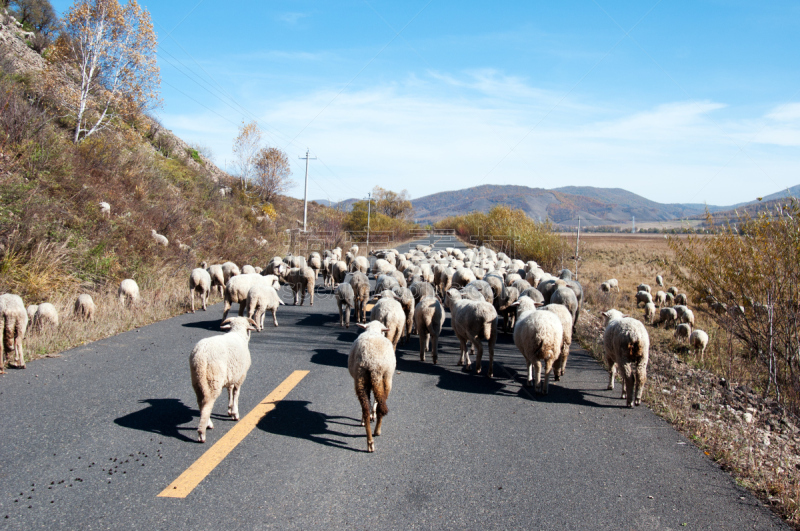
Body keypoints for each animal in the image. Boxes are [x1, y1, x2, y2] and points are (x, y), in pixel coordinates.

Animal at [189, 316, 258, 444]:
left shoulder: (231, 375)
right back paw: (202, 432)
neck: (238, 333)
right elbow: (236, 394)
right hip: (213, 379)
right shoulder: (240, 376)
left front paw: (230, 409)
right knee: (208, 403)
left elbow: (229, 391)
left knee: (201, 402)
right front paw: (235, 413)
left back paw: (207, 423)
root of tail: (201, 356)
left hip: (197, 379)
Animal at [348, 320, 396, 454]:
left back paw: (370, 442)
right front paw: (373, 415)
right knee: (380, 406)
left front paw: (370, 416)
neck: (373, 330)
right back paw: (377, 431)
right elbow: (376, 401)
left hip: (361, 378)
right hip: (386, 377)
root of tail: (372, 363)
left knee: (365, 408)